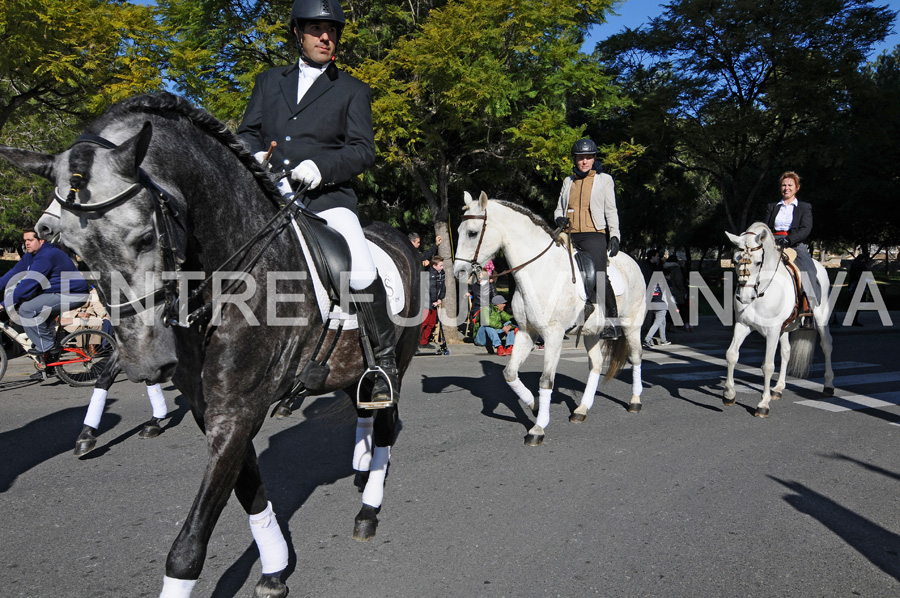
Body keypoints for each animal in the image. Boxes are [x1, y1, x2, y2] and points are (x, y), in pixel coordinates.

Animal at [458, 192, 648, 446]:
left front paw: (538, 428)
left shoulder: (554, 336)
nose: (458, 272)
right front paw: (535, 406)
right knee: (596, 364)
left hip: (631, 325)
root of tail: (633, 261)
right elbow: (510, 374)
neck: (539, 271)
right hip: (592, 332)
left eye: (472, 233)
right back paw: (581, 410)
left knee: (635, 357)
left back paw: (635, 401)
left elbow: (546, 381)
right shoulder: (526, 332)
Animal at [724, 221, 836, 418]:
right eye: (735, 261)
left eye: (758, 262)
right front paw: (729, 394)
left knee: (827, 345)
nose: (744, 297)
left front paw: (763, 404)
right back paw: (778, 388)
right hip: (785, 328)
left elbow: (768, 366)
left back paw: (828, 386)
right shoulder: (743, 325)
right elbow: (731, 355)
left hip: (821, 317)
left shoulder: (772, 331)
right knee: (786, 352)